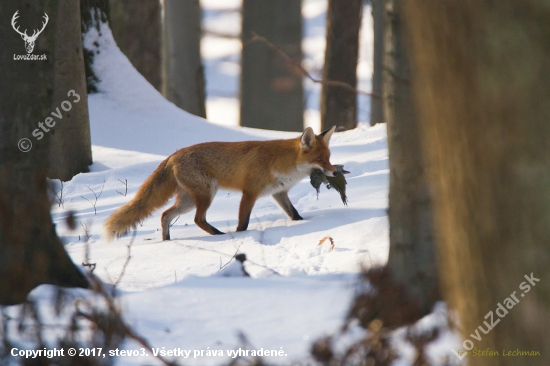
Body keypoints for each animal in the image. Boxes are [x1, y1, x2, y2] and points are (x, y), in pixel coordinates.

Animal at [103, 127, 336, 242]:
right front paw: (243, 236)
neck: (281, 163)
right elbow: (243, 223)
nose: (334, 172)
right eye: (320, 160)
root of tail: (173, 155)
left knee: (165, 215)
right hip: (207, 193)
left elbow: (294, 213)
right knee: (197, 219)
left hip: (188, 200)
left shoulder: (278, 192)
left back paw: (167, 241)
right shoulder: (249, 193)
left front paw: (302, 223)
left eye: (329, 158)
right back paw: (219, 235)